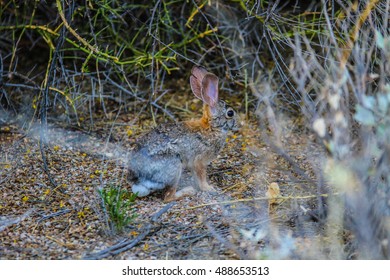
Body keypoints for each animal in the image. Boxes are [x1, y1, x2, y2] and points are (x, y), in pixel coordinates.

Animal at [129, 65, 238, 201]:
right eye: (230, 113)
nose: (237, 124)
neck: (211, 128)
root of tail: (138, 181)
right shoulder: (199, 161)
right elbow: (201, 177)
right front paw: (209, 188)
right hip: (174, 167)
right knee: (168, 197)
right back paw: (188, 191)